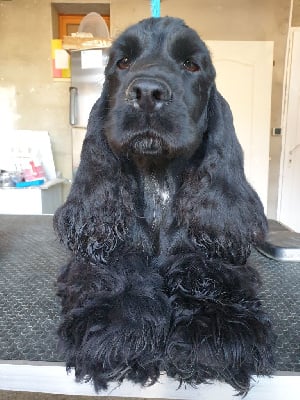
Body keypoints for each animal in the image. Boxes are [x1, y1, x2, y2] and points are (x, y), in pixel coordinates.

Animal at [54, 16, 274, 394]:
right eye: (122, 62)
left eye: (191, 65)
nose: (146, 93)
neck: (156, 177)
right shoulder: (104, 250)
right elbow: (123, 269)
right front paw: (119, 327)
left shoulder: (212, 253)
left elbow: (205, 273)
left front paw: (214, 331)